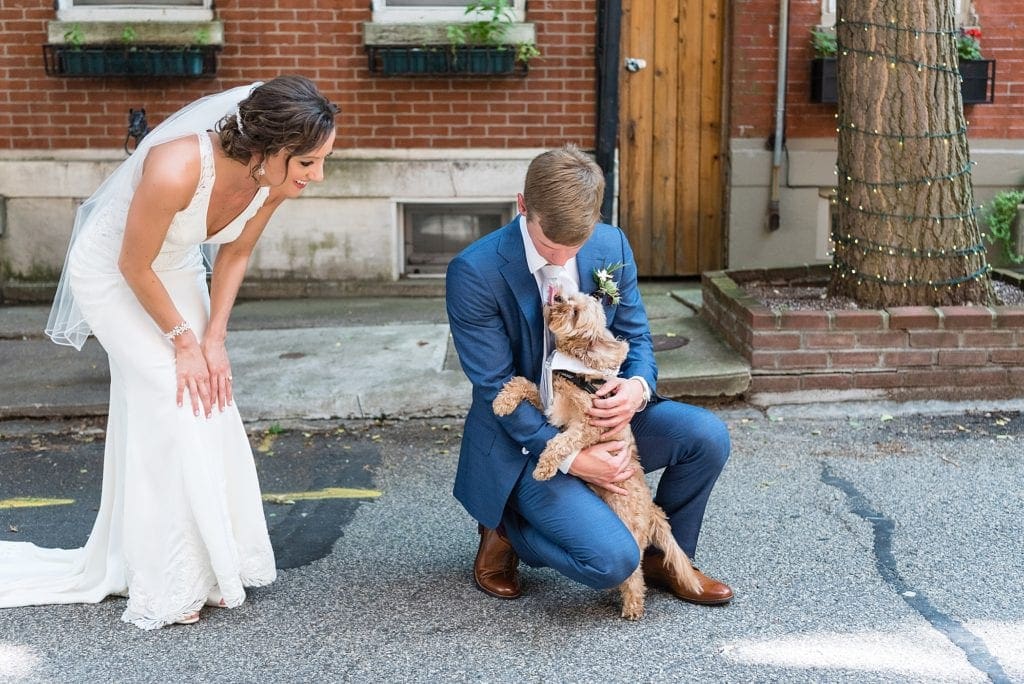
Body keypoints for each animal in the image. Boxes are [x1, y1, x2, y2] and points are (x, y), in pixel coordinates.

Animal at [489, 288, 704, 618]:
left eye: (576, 311)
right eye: (569, 297)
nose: (557, 298)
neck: (577, 371)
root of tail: (652, 511)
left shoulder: (589, 425)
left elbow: (559, 443)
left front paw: (544, 468)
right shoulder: (551, 408)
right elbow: (522, 383)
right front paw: (502, 402)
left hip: (629, 531)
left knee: (635, 572)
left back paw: (632, 605)